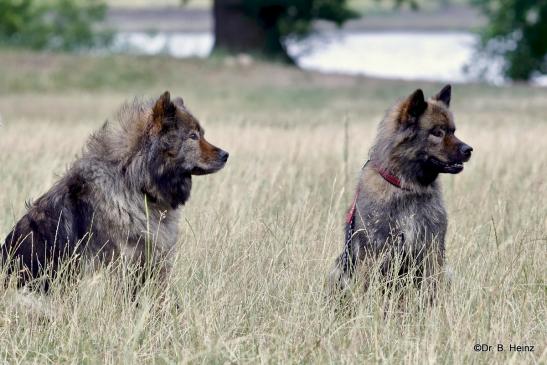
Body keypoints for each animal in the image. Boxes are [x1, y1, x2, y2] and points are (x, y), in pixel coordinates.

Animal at [330, 86, 476, 296]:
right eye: (437, 132)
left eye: (453, 131)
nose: (469, 150)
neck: (407, 187)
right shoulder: (374, 252)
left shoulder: (431, 248)